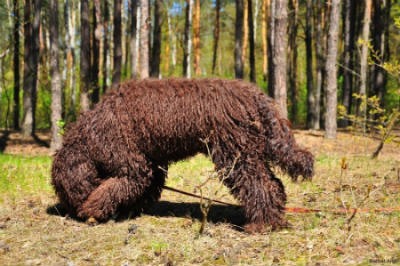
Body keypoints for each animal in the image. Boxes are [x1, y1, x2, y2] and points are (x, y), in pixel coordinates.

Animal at [50, 78, 312, 233]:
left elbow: (112, 188)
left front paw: (92, 210)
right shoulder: (152, 165)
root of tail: (255, 95)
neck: (89, 137)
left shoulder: (132, 166)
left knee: (260, 185)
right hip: (250, 151)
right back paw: (273, 217)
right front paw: (128, 210)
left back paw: (261, 224)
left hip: (235, 154)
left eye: (63, 189)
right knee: (273, 184)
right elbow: (140, 190)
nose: (66, 210)